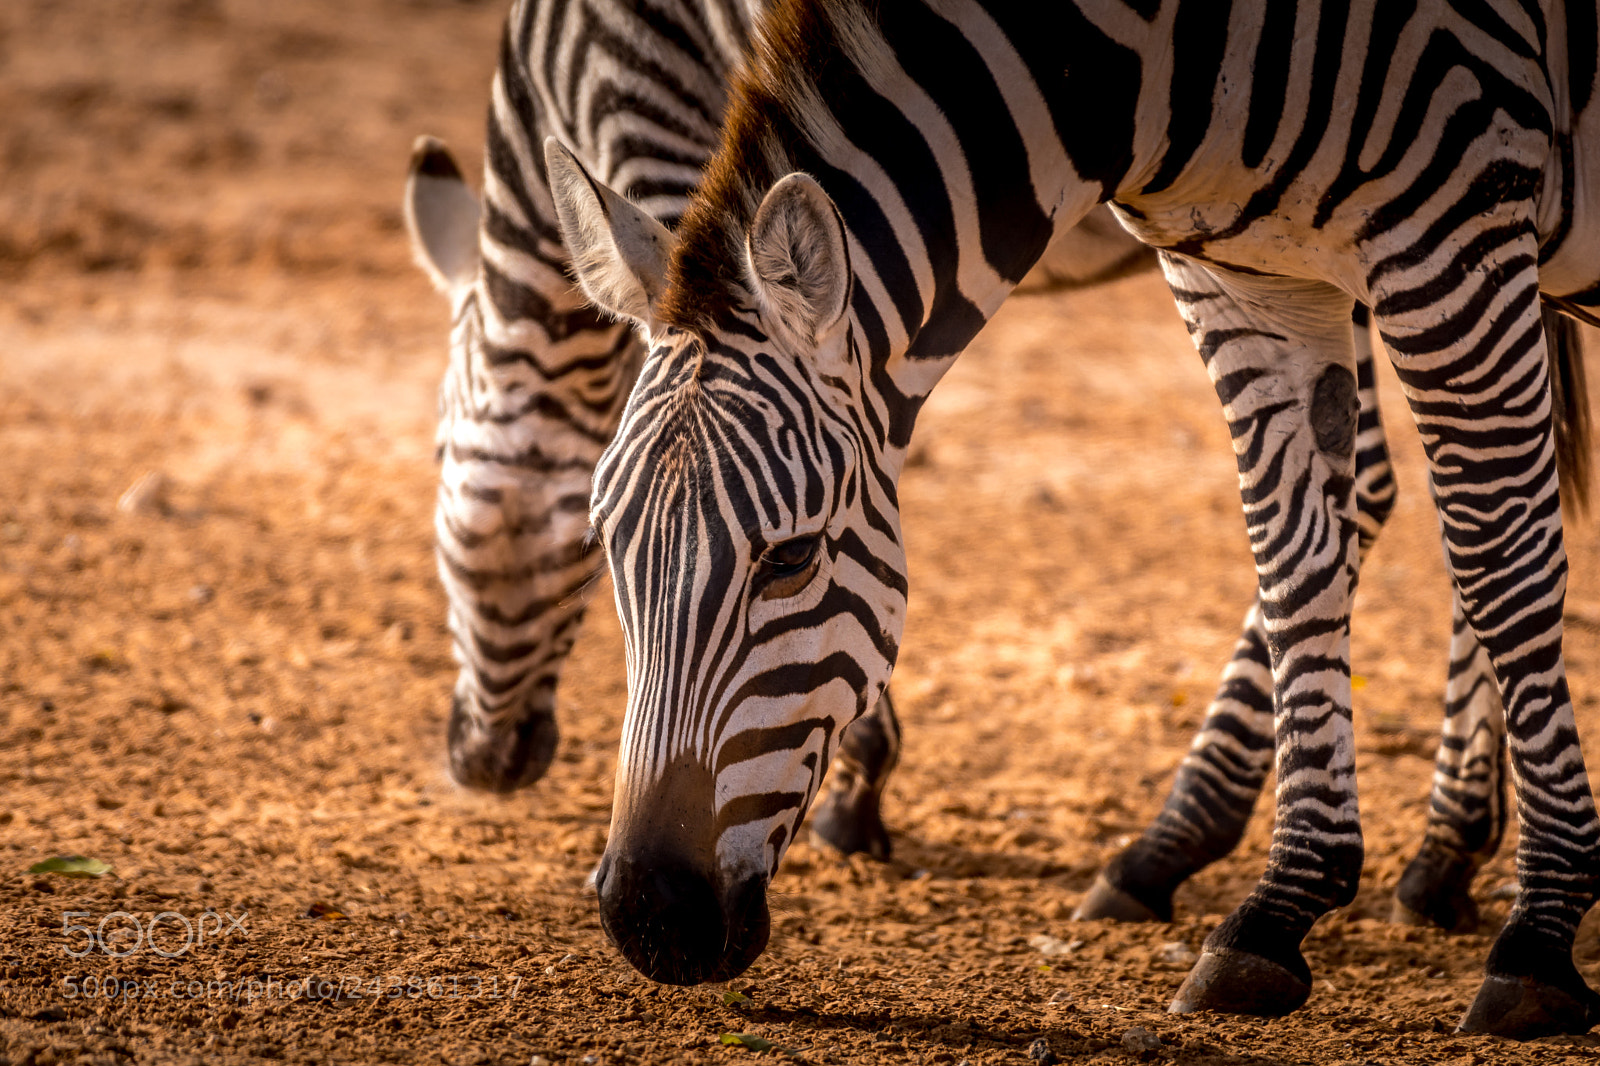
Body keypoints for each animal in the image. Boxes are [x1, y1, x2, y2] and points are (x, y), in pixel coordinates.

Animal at [547, 0, 1600, 1038]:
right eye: (606, 547)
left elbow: (1499, 558)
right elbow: (1295, 566)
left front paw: (1540, 934)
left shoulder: (1451, 221)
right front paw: (1277, 909)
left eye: (794, 557)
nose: (647, 917)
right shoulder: (1240, 277)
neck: (1144, 62)